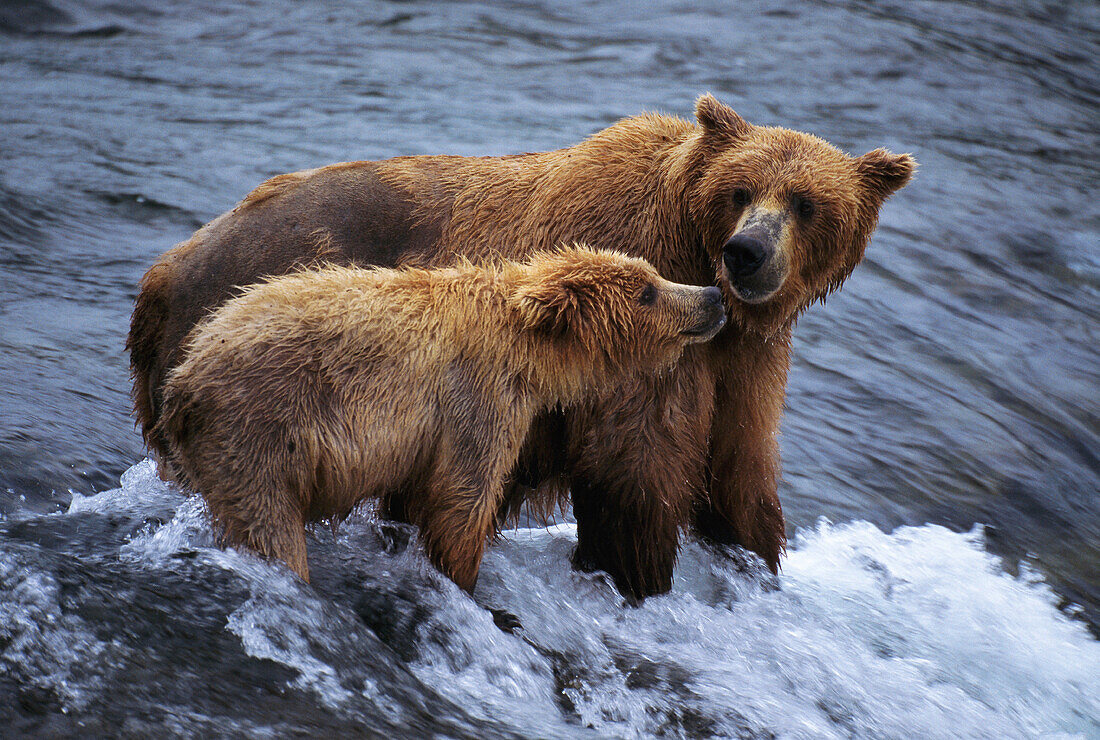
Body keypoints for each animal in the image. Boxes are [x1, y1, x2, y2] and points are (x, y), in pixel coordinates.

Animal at [150, 245, 726, 593]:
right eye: (648, 290)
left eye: (653, 273)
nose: (712, 296)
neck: (529, 352)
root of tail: (182, 380)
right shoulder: (478, 396)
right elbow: (463, 498)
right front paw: (464, 580)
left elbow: (415, 496)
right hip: (258, 430)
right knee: (269, 523)